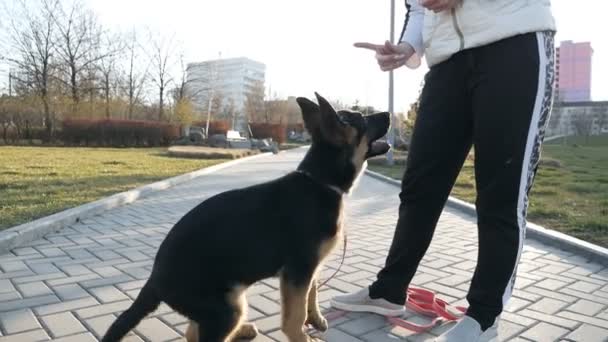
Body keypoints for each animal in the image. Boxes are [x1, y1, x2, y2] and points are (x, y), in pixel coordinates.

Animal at [101, 93, 390, 342]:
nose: (389, 113)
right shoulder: (298, 271)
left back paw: (243, 330)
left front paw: (316, 319)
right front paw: (304, 336)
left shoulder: (309, 269)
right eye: (363, 120)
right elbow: (294, 318)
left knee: (192, 332)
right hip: (227, 309)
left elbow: (313, 292)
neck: (321, 181)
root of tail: (155, 277)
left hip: (228, 302)